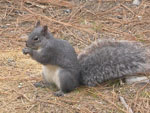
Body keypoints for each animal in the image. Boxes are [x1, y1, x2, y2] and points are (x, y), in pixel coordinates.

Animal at [22, 21, 150, 96]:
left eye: (36, 38)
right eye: (30, 33)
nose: (27, 43)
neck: (45, 42)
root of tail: (77, 81)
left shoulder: (50, 51)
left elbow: (42, 58)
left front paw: (29, 51)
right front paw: (24, 49)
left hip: (64, 76)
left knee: (68, 89)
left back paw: (61, 92)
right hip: (45, 74)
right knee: (51, 85)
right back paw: (42, 84)